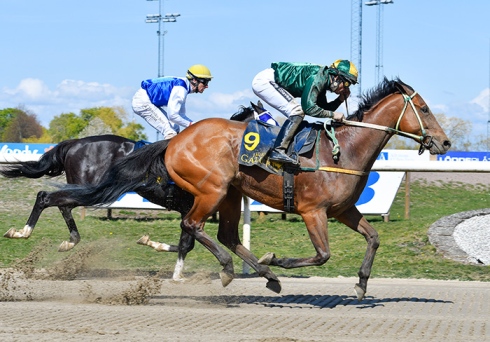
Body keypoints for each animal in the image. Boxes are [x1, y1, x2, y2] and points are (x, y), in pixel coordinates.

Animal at [58, 78, 452, 300]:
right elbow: (323, 255)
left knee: (226, 235)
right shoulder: (313, 212)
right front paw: (276, 258)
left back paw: (266, 278)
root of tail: (176, 141)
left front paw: (361, 285)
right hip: (212, 189)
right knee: (193, 226)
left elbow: (373, 238)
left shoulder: (343, 210)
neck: (346, 148)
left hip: (231, 193)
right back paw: (234, 270)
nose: (445, 142)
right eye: (423, 108)